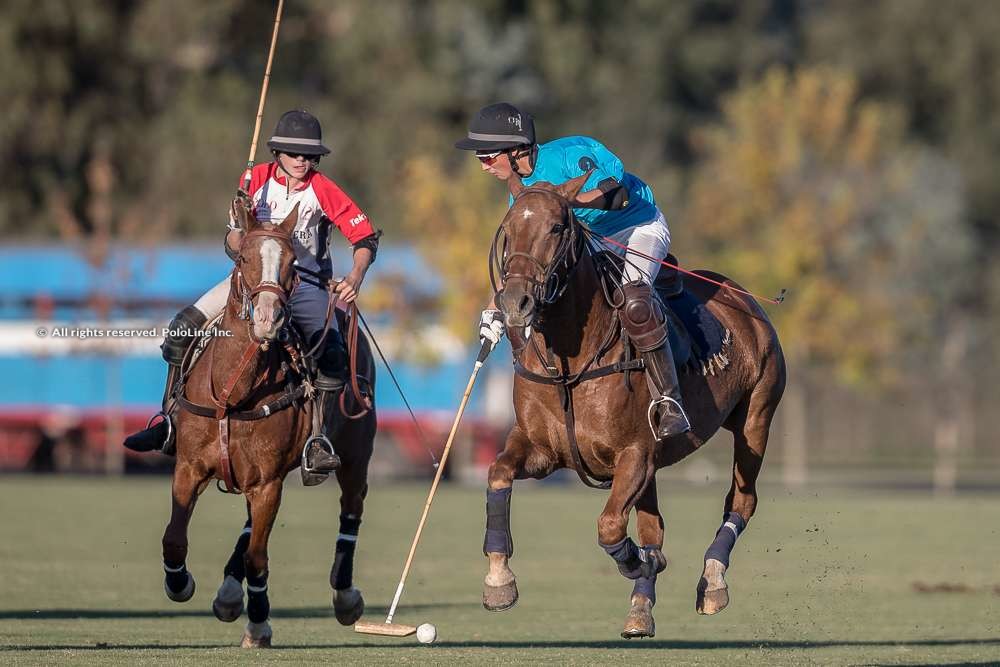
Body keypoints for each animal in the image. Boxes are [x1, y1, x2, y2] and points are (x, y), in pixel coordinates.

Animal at [160, 204, 378, 648]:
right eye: (243, 257)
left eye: (294, 263)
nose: (267, 318)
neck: (233, 393)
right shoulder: (191, 468)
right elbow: (174, 538)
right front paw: (180, 583)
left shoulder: (267, 482)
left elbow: (258, 557)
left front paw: (258, 623)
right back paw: (228, 593)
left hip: (355, 453)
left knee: (352, 507)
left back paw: (345, 597)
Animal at [480, 175, 784, 640]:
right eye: (509, 230)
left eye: (556, 227)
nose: (515, 303)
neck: (570, 361)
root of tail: (746, 299)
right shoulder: (542, 450)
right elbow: (497, 474)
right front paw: (499, 581)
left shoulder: (634, 454)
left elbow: (609, 527)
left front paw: (641, 562)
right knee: (654, 525)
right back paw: (641, 608)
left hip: (755, 419)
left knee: (742, 499)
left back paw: (712, 581)